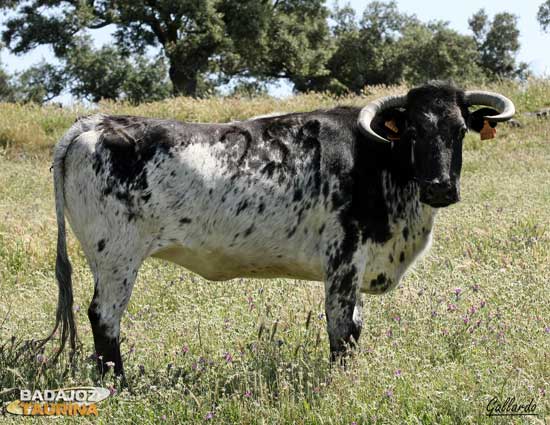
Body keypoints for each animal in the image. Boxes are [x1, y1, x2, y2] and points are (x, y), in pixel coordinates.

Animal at [43, 80, 516, 374]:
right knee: (104, 319)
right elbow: (341, 330)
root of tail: (99, 121)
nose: (440, 187)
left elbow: (355, 329)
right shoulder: (343, 260)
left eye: (459, 130)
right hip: (117, 257)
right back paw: (118, 386)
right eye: (413, 131)